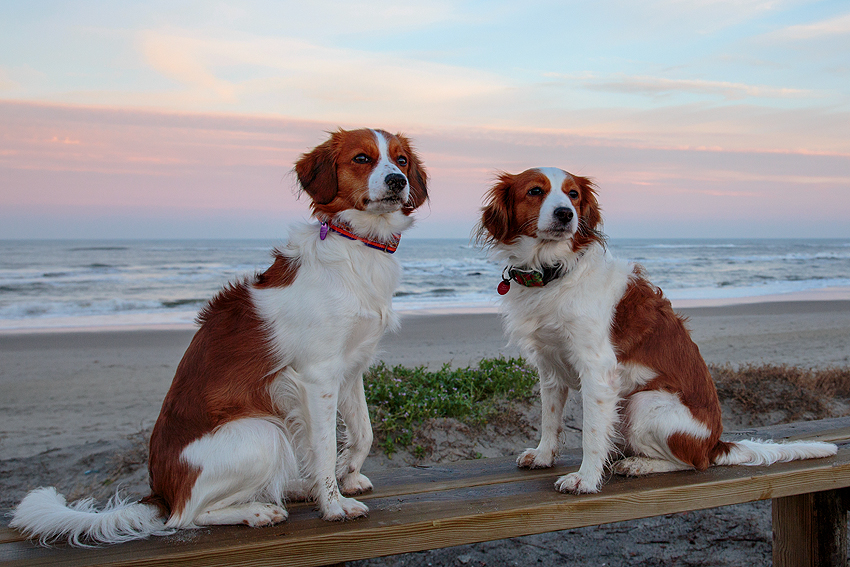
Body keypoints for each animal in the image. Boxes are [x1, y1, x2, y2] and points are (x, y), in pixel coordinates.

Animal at [9, 127, 428, 544]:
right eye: (362, 158)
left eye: (401, 160)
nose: (398, 181)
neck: (357, 245)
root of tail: (161, 493)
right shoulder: (318, 375)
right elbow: (324, 446)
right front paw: (334, 505)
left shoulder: (351, 367)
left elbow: (363, 433)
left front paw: (350, 476)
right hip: (263, 432)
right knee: (187, 516)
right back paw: (258, 510)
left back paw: (293, 487)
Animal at [476, 166, 836, 494]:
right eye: (535, 191)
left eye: (573, 194)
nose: (565, 214)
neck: (553, 271)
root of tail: (716, 443)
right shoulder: (549, 366)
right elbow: (550, 419)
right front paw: (544, 455)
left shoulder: (597, 368)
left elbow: (591, 432)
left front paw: (586, 479)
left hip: (643, 403)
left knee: (693, 463)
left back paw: (639, 464)